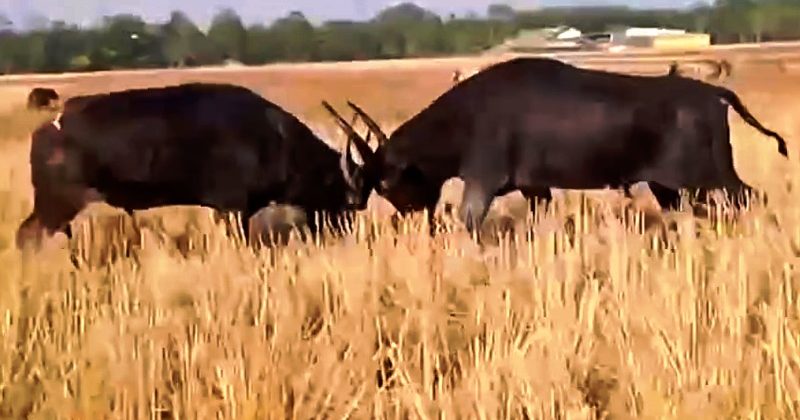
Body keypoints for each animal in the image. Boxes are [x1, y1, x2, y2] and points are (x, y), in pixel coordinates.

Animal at [16, 82, 375, 250]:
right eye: (342, 202)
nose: (346, 238)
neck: (274, 136)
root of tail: (47, 128)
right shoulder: (233, 209)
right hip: (57, 204)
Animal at [323, 57, 788, 238]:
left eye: (385, 185)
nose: (410, 215)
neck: (462, 119)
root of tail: (714, 93)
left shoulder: (482, 183)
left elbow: (468, 224)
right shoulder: (535, 188)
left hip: (713, 176)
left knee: (754, 199)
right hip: (672, 187)